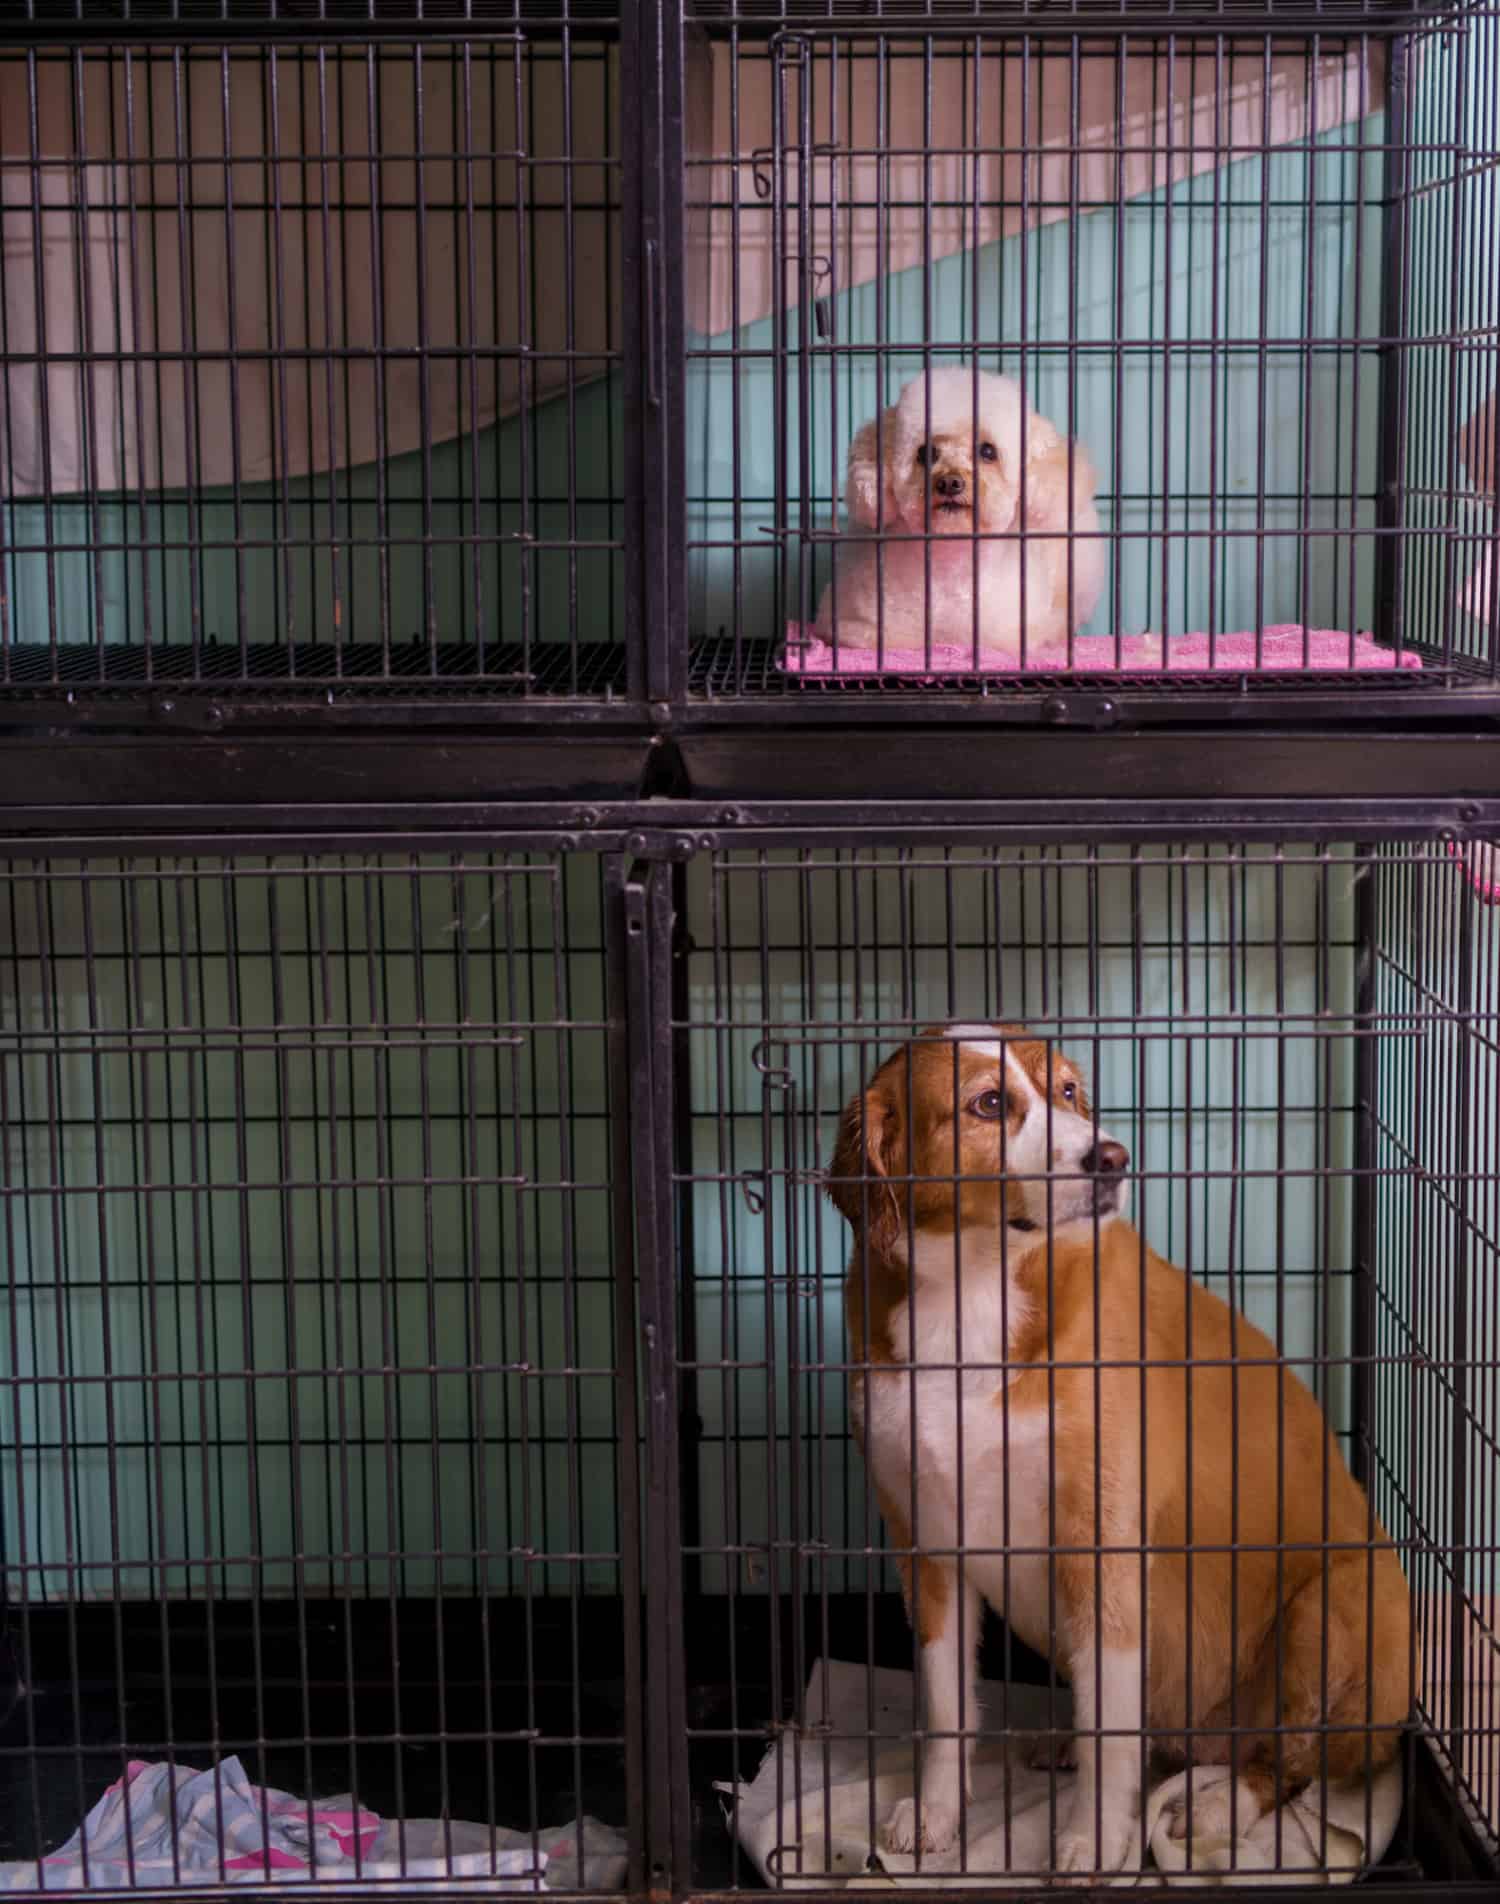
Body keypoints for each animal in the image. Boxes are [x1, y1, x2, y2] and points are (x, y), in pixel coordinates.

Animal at [826, 1028, 1408, 1873]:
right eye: (988, 1103)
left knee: (1289, 1765)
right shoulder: (926, 1546)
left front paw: (1094, 1841)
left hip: (1343, 1606)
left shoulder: (1100, 1550)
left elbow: (1113, 1735)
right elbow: (944, 1706)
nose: (1111, 1157)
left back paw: (1220, 1804)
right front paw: (937, 1813)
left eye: (1069, 1091)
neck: (972, 1298)